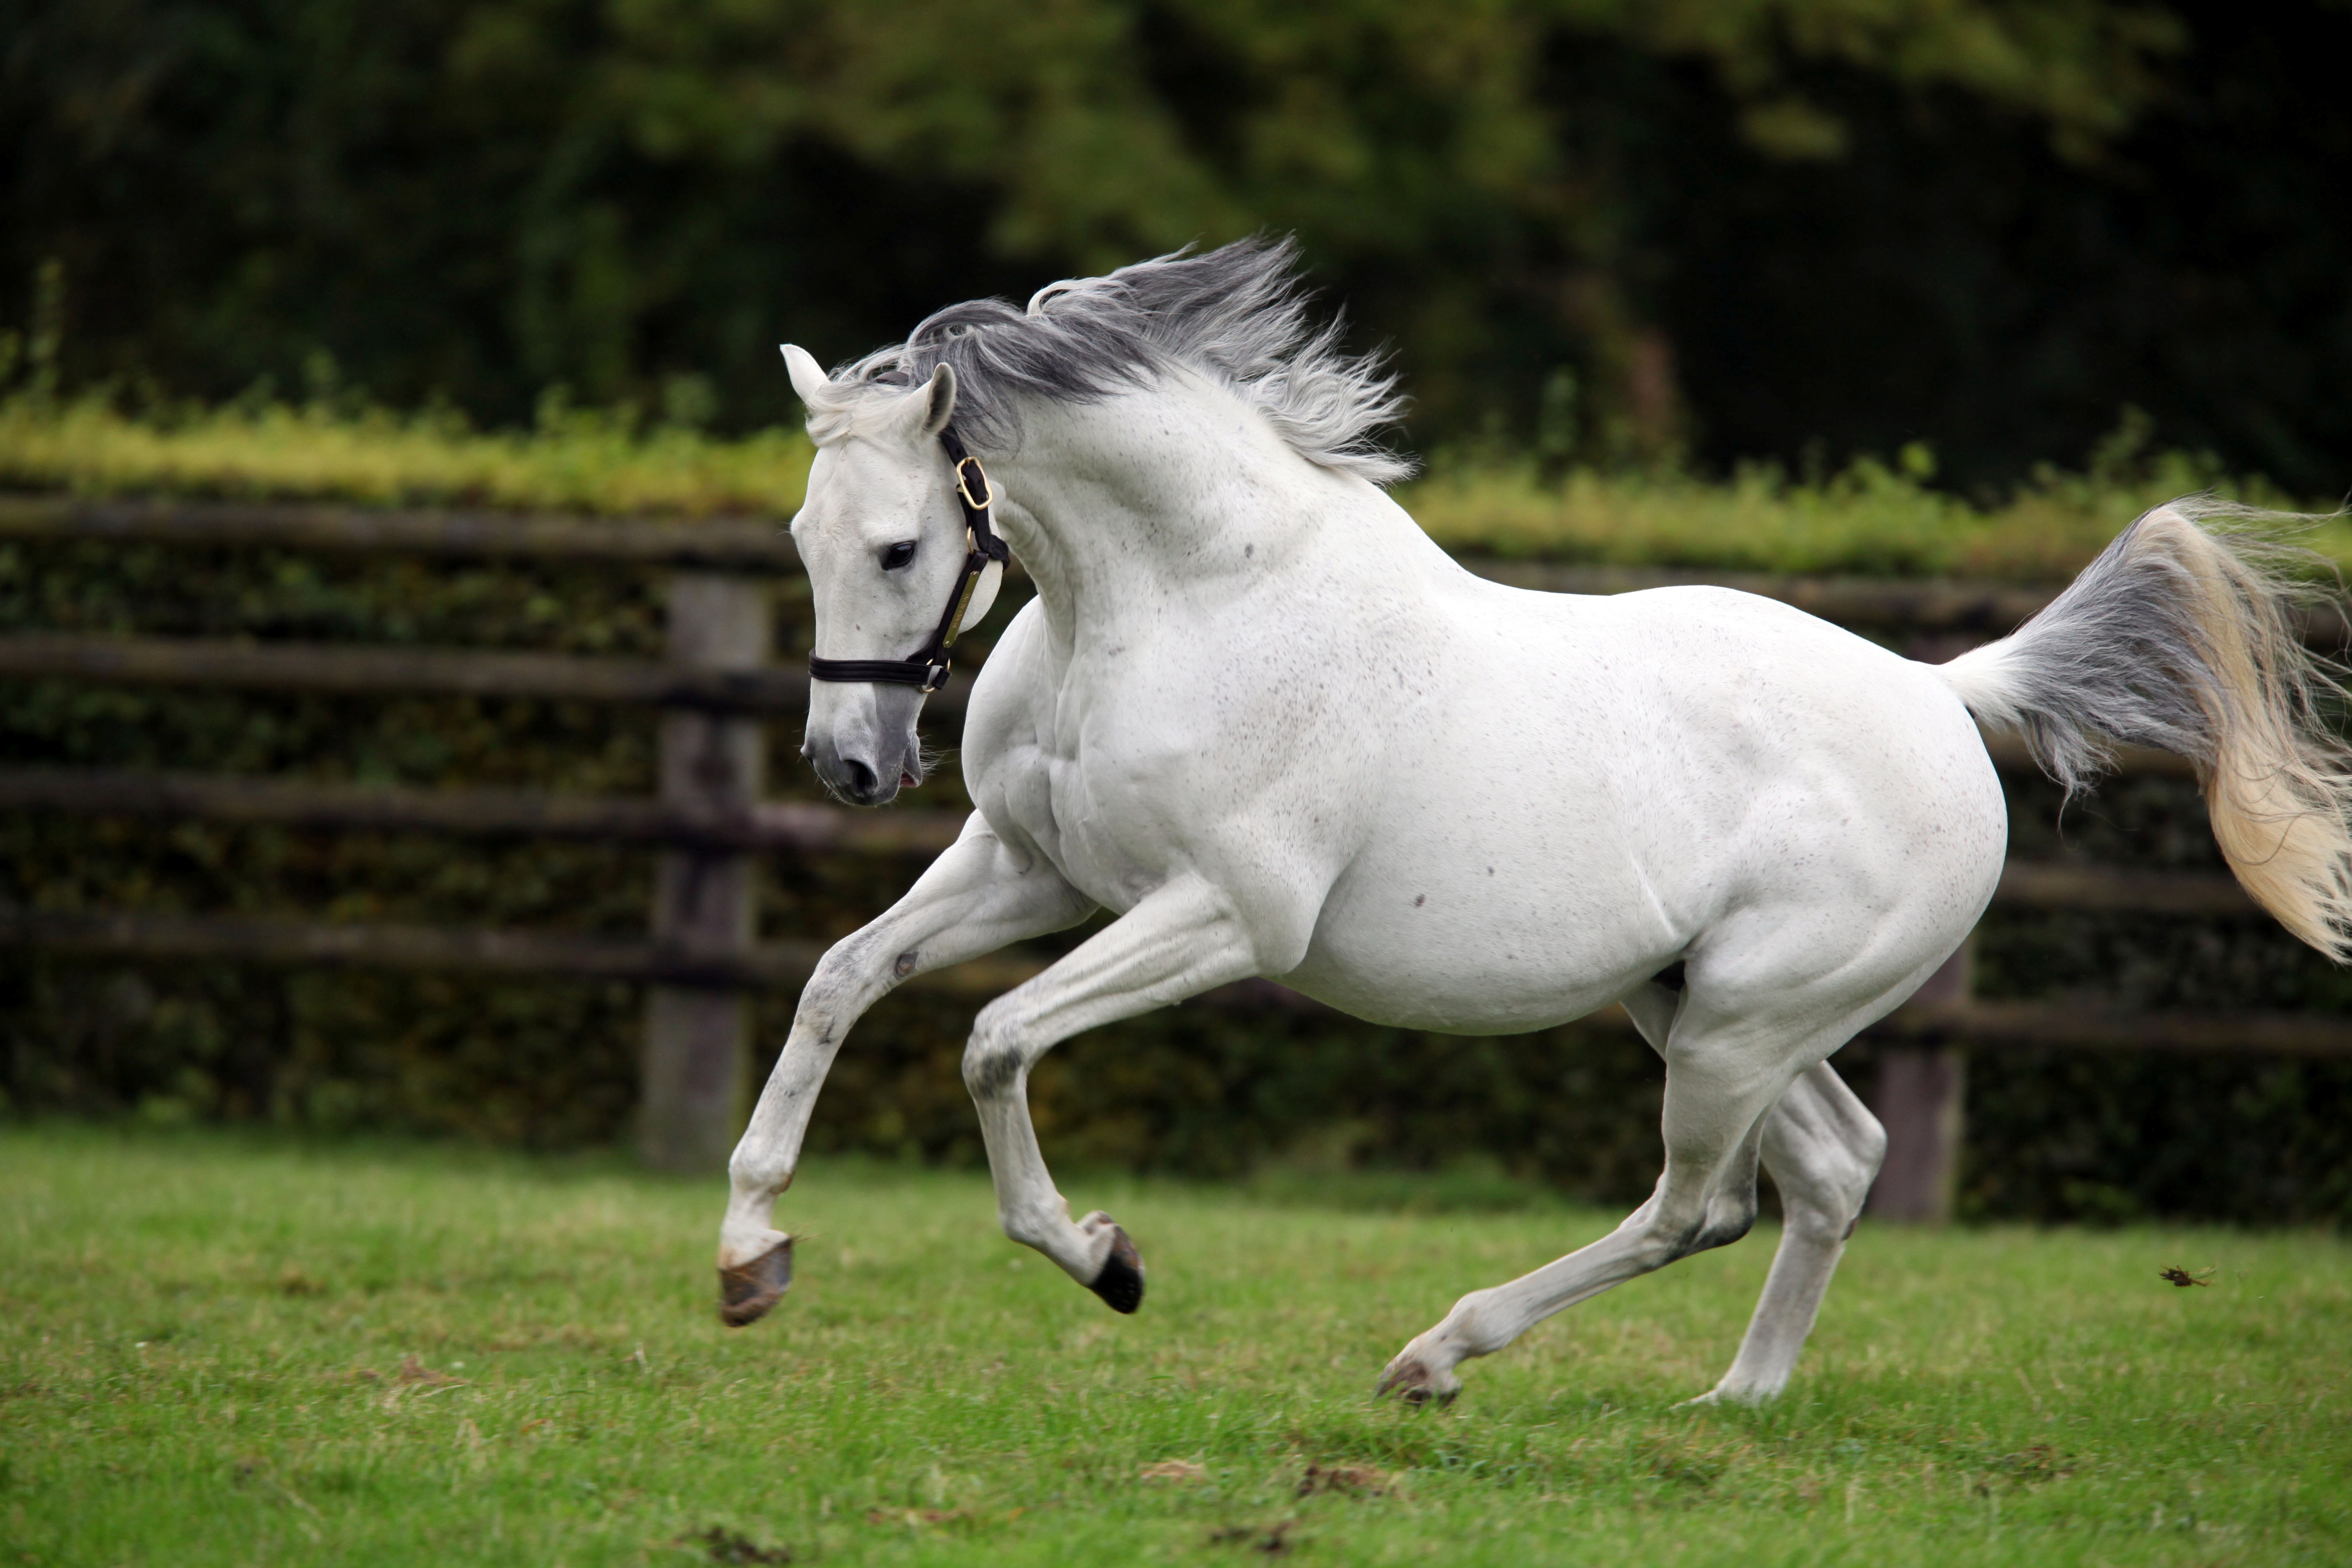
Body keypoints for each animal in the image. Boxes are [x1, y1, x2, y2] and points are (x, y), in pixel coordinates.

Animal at [715, 240, 2352, 1401]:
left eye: (899, 546)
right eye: (799, 538)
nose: (846, 767)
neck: (1182, 602)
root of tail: (1943, 695)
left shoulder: (1223, 916)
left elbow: (995, 1041)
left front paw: (1103, 1260)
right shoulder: (1030, 868)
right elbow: (839, 980)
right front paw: (750, 1256)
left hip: (1741, 1022)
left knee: (1699, 1206)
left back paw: (1438, 1356)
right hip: (1693, 1003)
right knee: (1831, 1168)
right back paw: (1734, 1405)